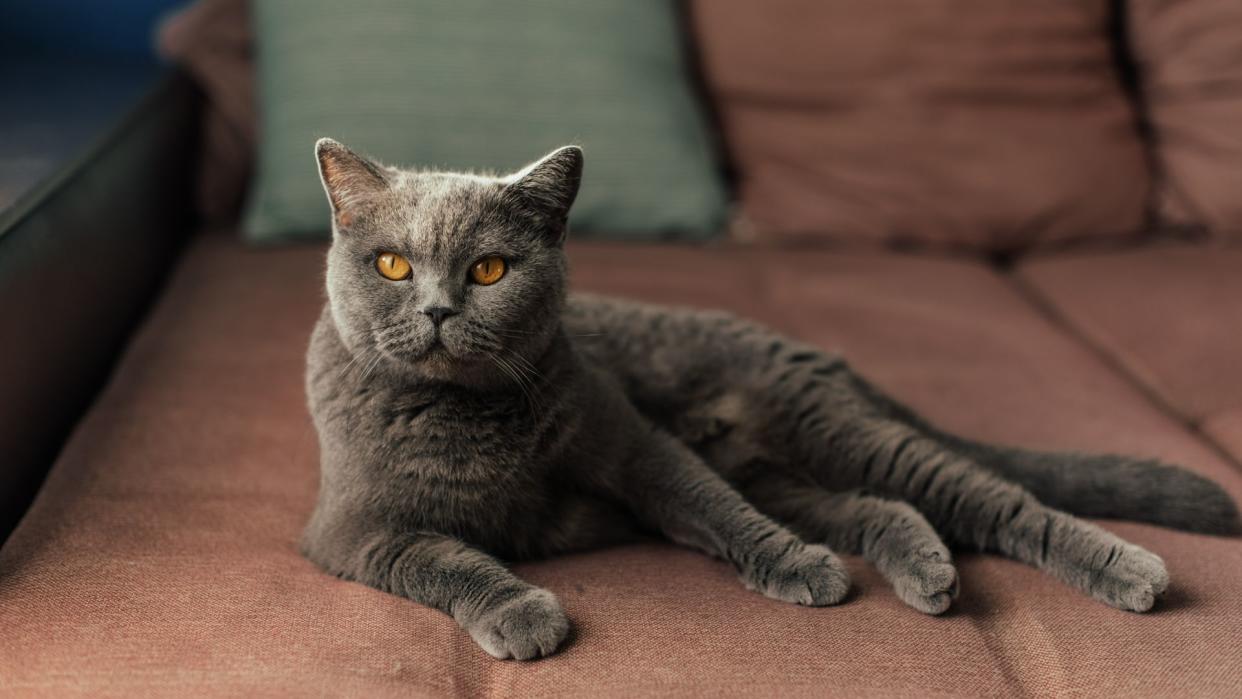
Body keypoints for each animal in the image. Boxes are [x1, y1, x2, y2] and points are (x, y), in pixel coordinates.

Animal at [303, 138, 1242, 660]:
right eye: (393, 264)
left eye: (490, 269)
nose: (437, 309)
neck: (470, 416)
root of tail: (815, 352)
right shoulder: (351, 530)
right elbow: (444, 559)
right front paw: (524, 612)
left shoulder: (635, 442)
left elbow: (708, 503)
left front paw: (791, 564)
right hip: (785, 467)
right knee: (882, 506)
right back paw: (928, 571)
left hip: (828, 429)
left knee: (991, 496)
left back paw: (1130, 569)